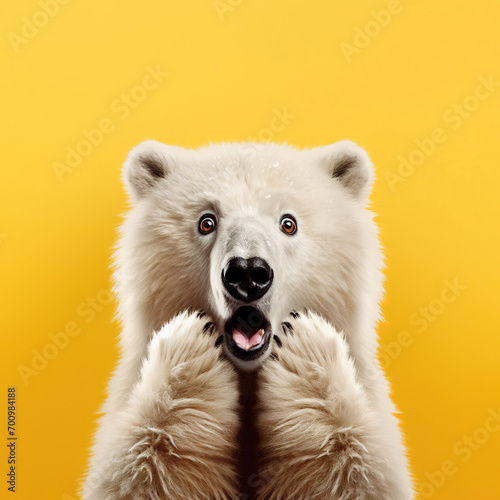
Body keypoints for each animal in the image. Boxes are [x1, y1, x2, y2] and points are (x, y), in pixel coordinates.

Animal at [84, 141, 414, 500]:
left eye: (288, 223)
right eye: (206, 222)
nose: (247, 272)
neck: (248, 375)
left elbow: (361, 476)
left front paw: (306, 354)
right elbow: (137, 475)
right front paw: (189, 354)